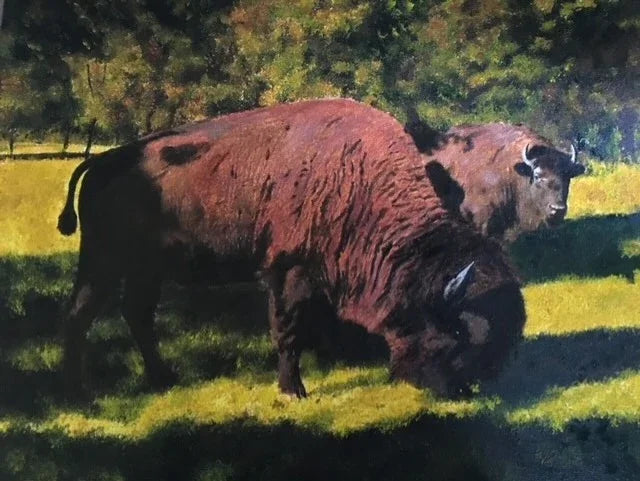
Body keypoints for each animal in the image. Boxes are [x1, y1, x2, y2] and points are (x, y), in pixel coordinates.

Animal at [58, 99, 525, 398]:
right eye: (460, 332)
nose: (464, 392)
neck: (360, 181)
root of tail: (101, 162)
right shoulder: (289, 271)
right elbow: (288, 329)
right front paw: (293, 390)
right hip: (103, 262)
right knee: (80, 314)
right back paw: (78, 392)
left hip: (144, 270)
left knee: (136, 315)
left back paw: (162, 379)